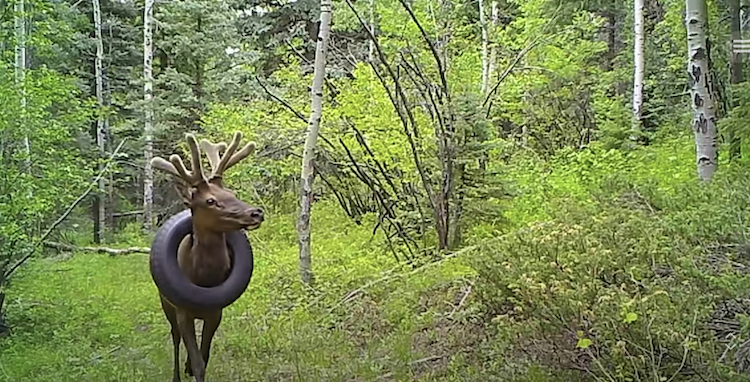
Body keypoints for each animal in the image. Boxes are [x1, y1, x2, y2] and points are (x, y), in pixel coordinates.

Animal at [148, 132, 262, 382]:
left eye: (231, 193)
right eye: (210, 200)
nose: (256, 212)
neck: (204, 278)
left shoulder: (216, 313)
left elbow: (204, 356)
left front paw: (193, 366)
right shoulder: (182, 312)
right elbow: (198, 360)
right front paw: (191, 369)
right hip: (165, 303)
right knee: (175, 338)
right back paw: (177, 374)